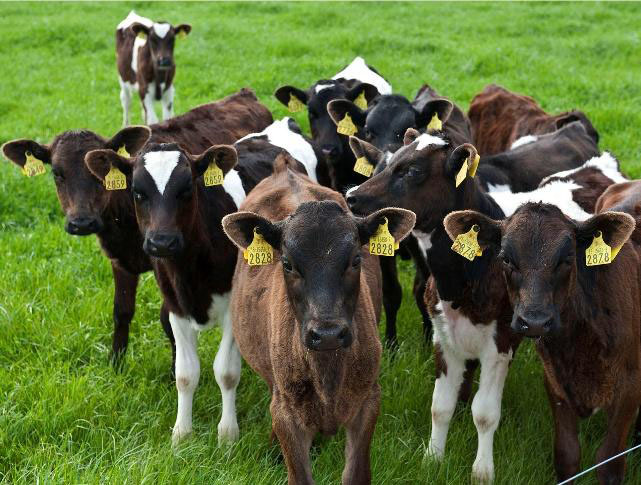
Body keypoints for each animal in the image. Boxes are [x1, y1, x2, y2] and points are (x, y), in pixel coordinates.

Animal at [2, 88, 272, 371]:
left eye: (97, 176)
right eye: (57, 172)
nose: (82, 222)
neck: (121, 221)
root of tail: (243, 94)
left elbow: (166, 319)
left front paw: (174, 365)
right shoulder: (120, 260)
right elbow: (121, 311)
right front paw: (116, 362)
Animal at [222, 158, 415, 484]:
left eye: (356, 260)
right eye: (287, 263)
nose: (327, 334)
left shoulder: (368, 401)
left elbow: (356, 474)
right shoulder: (286, 413)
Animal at [344, 128, 621, 482]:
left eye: (413, 170)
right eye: (380, 165)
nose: (352, 196)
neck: (463, 277)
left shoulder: (501, 340)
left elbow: (485, 412)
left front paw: (482, 472)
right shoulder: (443, 335)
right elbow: (440, 405)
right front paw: (433, 460)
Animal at [444, 203, 641, 484]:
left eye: (567, 259)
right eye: (506, 258)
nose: (535, 322)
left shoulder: (630, 387)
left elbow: (609, 462)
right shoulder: (555, 382)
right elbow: (567, 456)